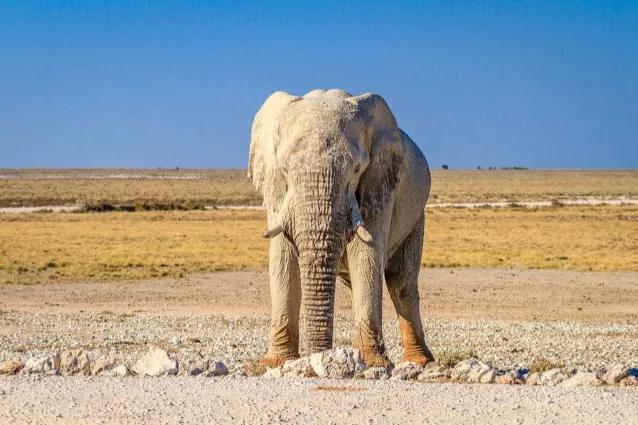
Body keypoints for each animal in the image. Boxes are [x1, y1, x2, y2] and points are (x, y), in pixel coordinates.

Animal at [249, 88, 436, 366]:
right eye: (283, 169)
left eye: (357, 169)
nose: (317, 358)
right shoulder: (276, 192)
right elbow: (282, 259)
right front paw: (275, 363)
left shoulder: (379, 183)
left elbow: (366, 254)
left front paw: (373, 363)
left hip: (415, 214)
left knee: (401, 282)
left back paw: (420, 362)